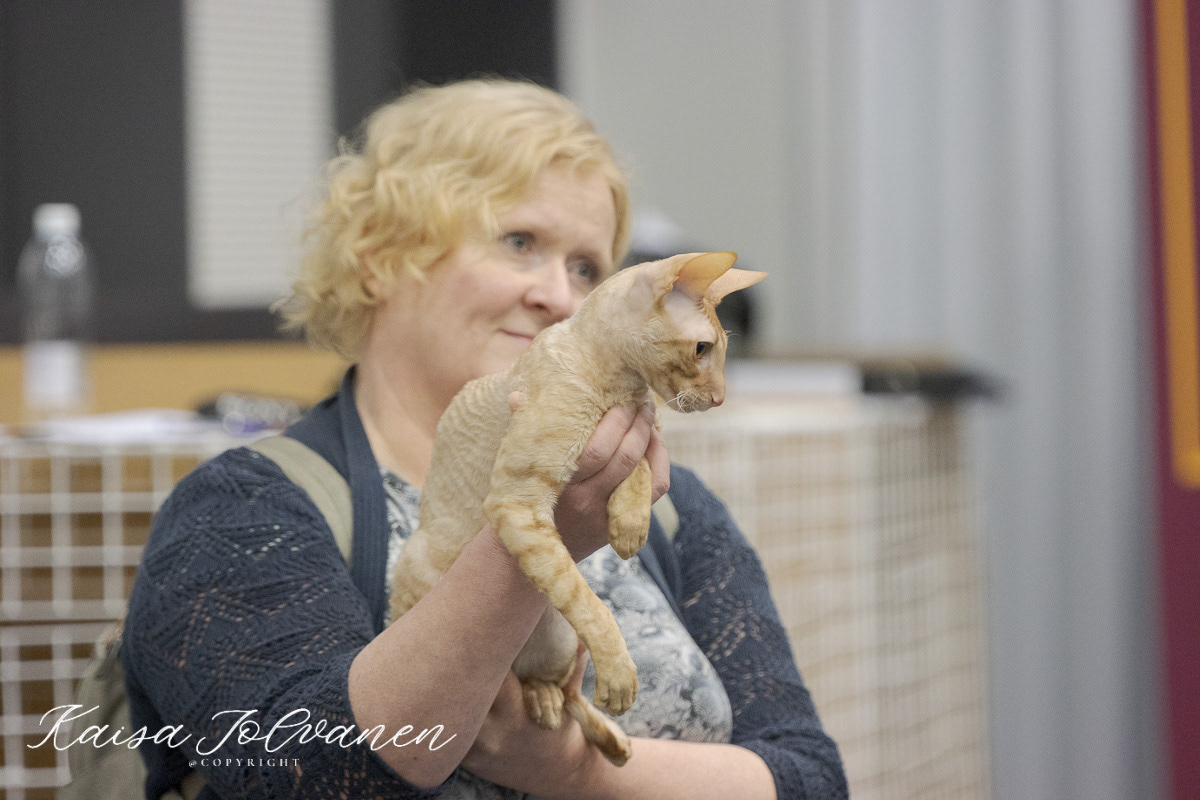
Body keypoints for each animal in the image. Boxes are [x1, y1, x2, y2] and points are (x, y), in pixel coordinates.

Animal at [388, 251, 766, 766]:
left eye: (720, 350)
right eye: (702, 349)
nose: (720, 398)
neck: (619, 384)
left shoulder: (639, 426)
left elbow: (640, 466)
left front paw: (629, 525)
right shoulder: (517, 501)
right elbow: (589, 603)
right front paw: (619, 672)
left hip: (557, 640)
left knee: (564, 692)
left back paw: (597, 731)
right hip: (423, 578)